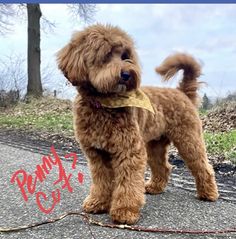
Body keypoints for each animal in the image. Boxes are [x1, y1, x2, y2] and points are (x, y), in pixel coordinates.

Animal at [56, 23, 218, 224]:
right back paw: (155, 187)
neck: (103, 104)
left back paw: (209, 193)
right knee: (163, 167)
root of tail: (182, 93)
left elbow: (128, 182)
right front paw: (98, 203)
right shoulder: (96, 154)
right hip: (155, 145)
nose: (126, 74)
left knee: (203, 166)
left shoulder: (129, 150)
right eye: (106, 54)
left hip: (189, 139)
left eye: (126, 56)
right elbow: (101, 181)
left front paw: (125, 211)